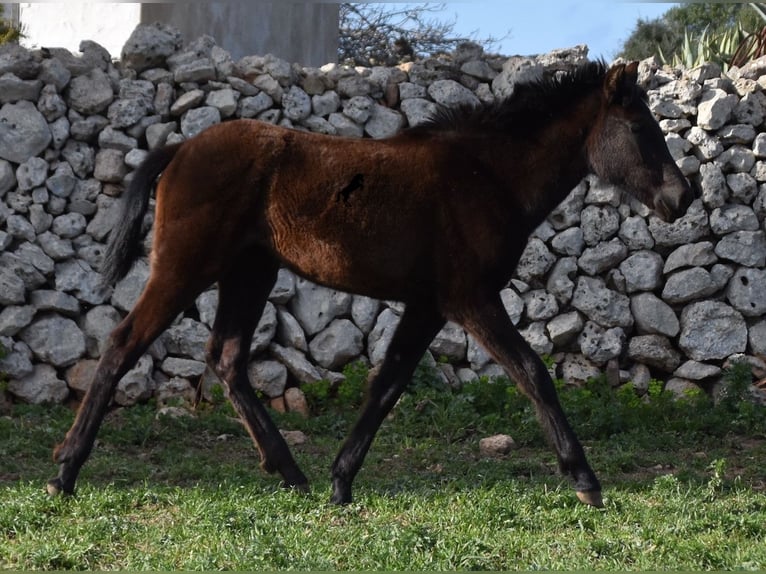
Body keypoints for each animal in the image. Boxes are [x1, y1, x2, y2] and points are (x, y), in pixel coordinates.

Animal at [46, 60, 696, 508]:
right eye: (638, 127)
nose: (681, 197)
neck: (486, 175)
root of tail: (181, 147)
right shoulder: (470, 299)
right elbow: (532, 374)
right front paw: (585, 479)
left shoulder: (428, 306)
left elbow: (386, 385)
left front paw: (341, 480)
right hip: (186, 268)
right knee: (123, 345)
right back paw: (64, 472)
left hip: (249, 272)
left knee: (227, 359)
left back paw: (292, 474)